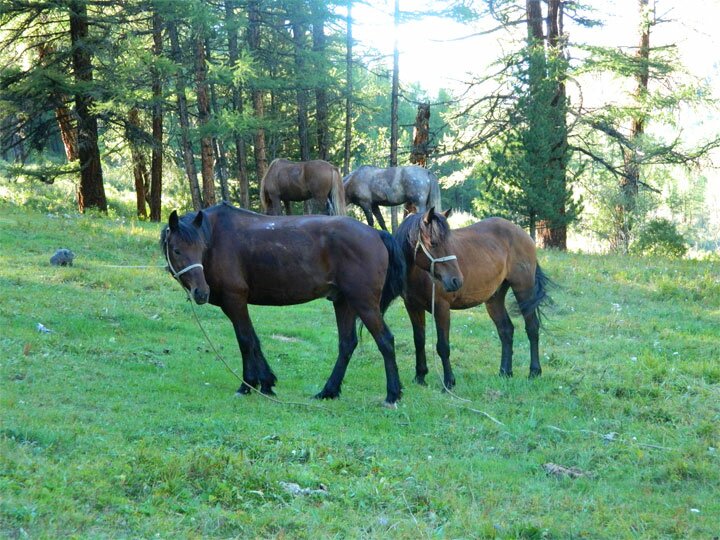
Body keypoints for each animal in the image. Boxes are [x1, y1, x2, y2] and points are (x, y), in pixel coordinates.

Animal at [162, 202, 404, 404]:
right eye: (177, 250)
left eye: (201, 248)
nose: (201, 293)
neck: (216, 237)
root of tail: (376, 233)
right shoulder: (233, 304)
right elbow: (254, 340)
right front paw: (266, 382)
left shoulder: (235, 300)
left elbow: (245, 341)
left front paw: (247, 385)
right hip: (344, 302)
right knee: (347, 344)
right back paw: (328, 391)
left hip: (364, 304)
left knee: (385, 340)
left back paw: (392, 394)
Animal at [394, 209, 552, 390]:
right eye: (433, 243)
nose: (456, 281)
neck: (418, 274)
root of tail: (524, 234)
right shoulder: (412, 306)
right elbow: (419, 341)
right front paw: (420, 377)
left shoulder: (441, 308)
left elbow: (443, 346)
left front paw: (449, 382)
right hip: (494, 298)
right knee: (506, 330)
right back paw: (505, 372)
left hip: (523, 290)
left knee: (532, 327)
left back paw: (534, 371)